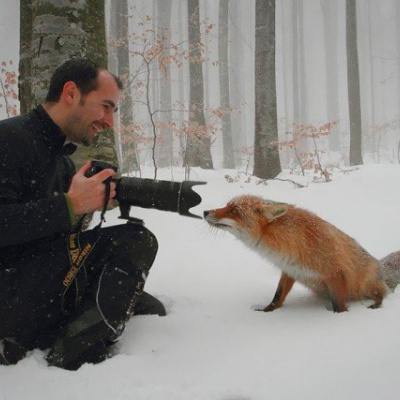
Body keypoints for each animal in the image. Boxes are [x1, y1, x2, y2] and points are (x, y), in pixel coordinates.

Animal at [205, 195, 398, 314]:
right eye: (226, 205)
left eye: (234, 211)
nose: (205, 212)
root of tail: (380, 266)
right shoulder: (290, 270)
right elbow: (277, 296)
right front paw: (267, 312)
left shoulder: (335, 273)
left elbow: (338, 305)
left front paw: (340, 319)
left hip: (365, 286)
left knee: (382, 294)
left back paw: (376, 305)